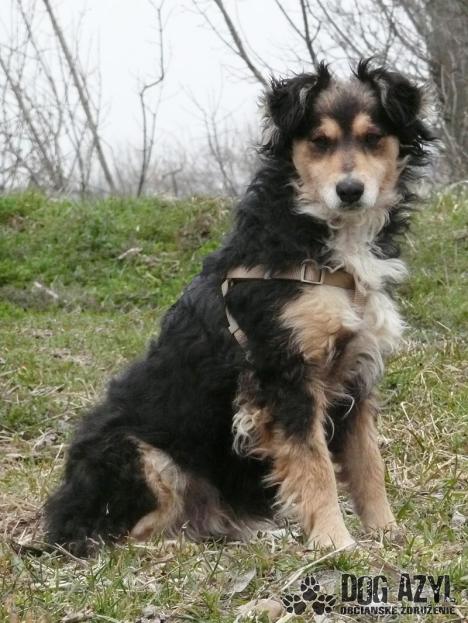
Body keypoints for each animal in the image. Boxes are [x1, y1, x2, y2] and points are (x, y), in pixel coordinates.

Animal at [44, 59, 434, 556]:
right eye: (319, 141)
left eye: (372, 138)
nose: (349, 190)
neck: (325, 244)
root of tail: (57, 518)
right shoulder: (282, 373)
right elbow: (316, 467)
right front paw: (334, 541)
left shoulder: (357, 373)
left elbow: (369, 464)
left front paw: (388, 533)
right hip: (139, 452)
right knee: (120, 533)